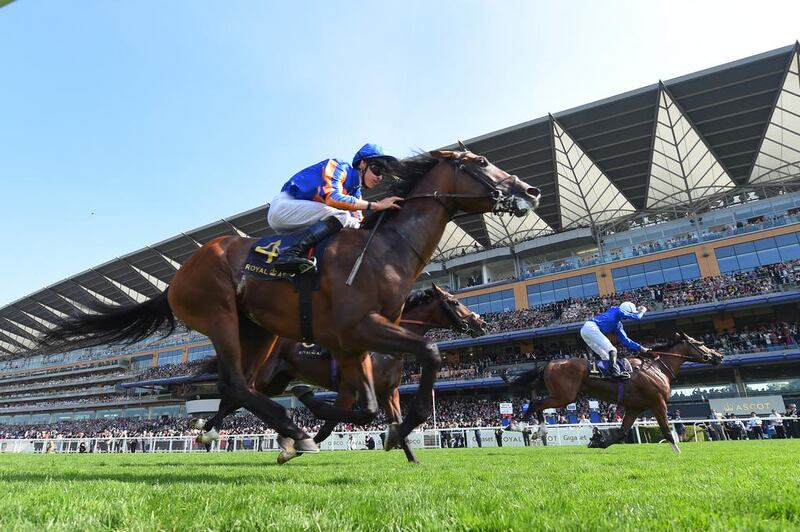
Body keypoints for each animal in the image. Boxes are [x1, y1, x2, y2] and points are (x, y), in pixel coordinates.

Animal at [195, 284, 484, 464]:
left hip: (274, 383)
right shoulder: (349, 389)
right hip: (265, 377)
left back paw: (205, 430)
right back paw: (205, 430)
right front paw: (292, 447)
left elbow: (398, 424)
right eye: (455, 302)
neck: (384, 348)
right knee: (235, 397)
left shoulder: (389, 392)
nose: (480, 322)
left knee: (235, 400)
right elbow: (328, 426)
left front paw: (413, 458)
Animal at [506, 332, 724, 454]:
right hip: (565, 396)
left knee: (537, 403)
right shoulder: (657, 402)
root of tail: (549, 363)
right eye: (699, 343)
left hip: (561, 395)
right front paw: (677, 450)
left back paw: (536, 430)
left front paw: (598, 440)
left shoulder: (634, 407)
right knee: (536, 404)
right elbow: (665, 428)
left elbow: (621, 432)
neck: (656, 367)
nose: (719, 356)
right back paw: (519, 425)